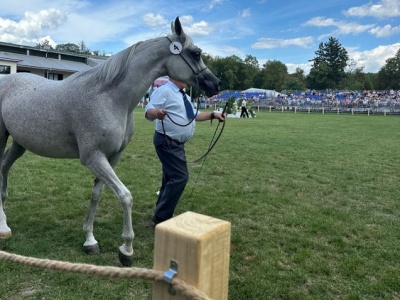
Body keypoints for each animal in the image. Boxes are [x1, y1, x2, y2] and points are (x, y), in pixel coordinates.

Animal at [0, 16, 220, 266]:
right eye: (195, 53)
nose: (216, 84)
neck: (108, 97)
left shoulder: (112, 157)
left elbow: (97, 195)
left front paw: (90, 239)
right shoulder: (93, 157)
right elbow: (125, 196)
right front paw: (126, 249)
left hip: (19, 144)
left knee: (4, 167)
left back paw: (4, 220)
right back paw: (3, 226)